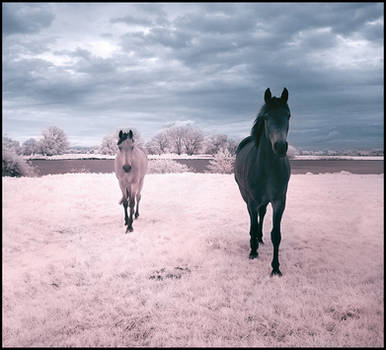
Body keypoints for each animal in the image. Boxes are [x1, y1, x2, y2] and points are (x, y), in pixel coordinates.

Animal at [234, 87, 292, 276]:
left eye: (288, 115)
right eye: (266, 117)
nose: (280, 147)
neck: (267, 168)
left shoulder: (279, 201)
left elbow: (276, 235)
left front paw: (275, 268)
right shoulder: (252, 200)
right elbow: (252, 225)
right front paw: (253, 252)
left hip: (265, 201)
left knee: (262, 213)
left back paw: (259, 239)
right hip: (247, 197)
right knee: (253, 217)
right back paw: (255, 243)